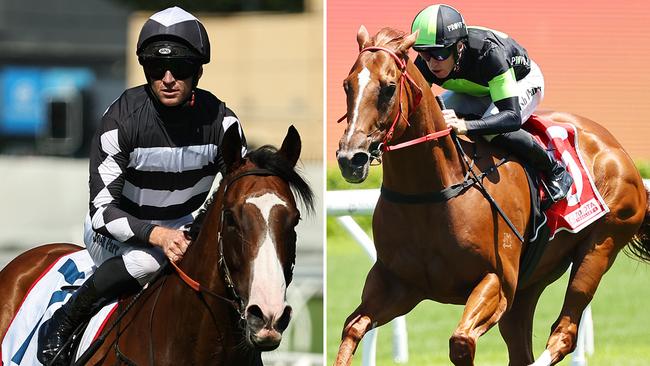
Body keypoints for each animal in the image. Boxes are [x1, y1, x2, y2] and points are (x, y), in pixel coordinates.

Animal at [334, 25, 648, 366]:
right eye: (347, 85)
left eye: (389, 88)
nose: (351, 158)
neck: (432, 191)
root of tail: (616, 149)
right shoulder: (397, 283)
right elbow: (351, 328)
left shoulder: (496, 280)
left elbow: (461, 341)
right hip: (531, 280)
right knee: (522, 345)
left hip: (599, 246)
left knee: (564, 333)